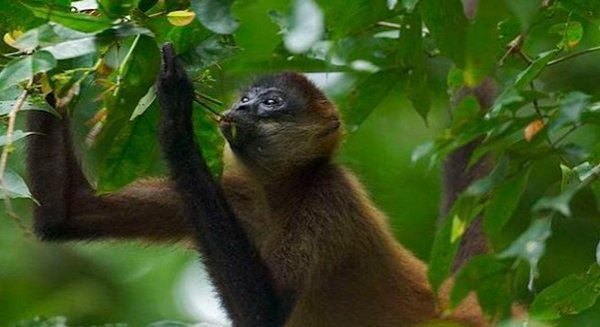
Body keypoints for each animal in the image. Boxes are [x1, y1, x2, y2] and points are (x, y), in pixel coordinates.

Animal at [25, 44, 490, 327]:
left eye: (271, 103)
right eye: (247, 99)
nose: (242, 107)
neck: (276, 197)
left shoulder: (326, 195)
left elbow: (263, 309)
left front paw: (175, 117)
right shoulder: (237, 194)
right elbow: (67, 212)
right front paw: (44, 59)